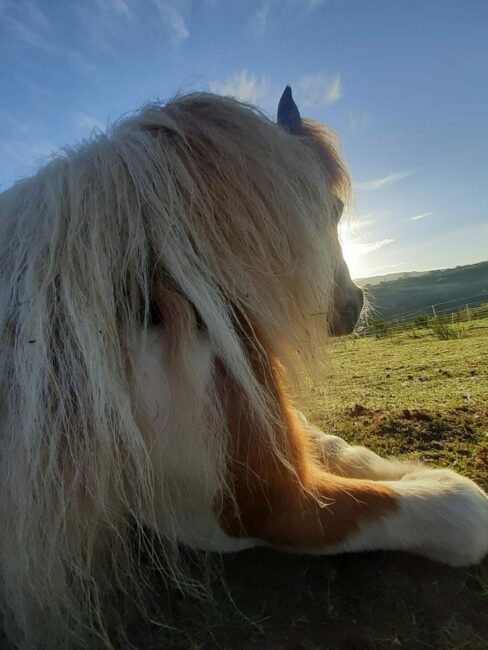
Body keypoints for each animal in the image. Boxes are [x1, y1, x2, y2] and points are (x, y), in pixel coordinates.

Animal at [0, 87, 486, 648]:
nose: (352, 304)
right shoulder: (264, 509)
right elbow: (462, 509)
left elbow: (336, 446)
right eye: (334, 207)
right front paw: (431, 483)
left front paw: (410, 469)